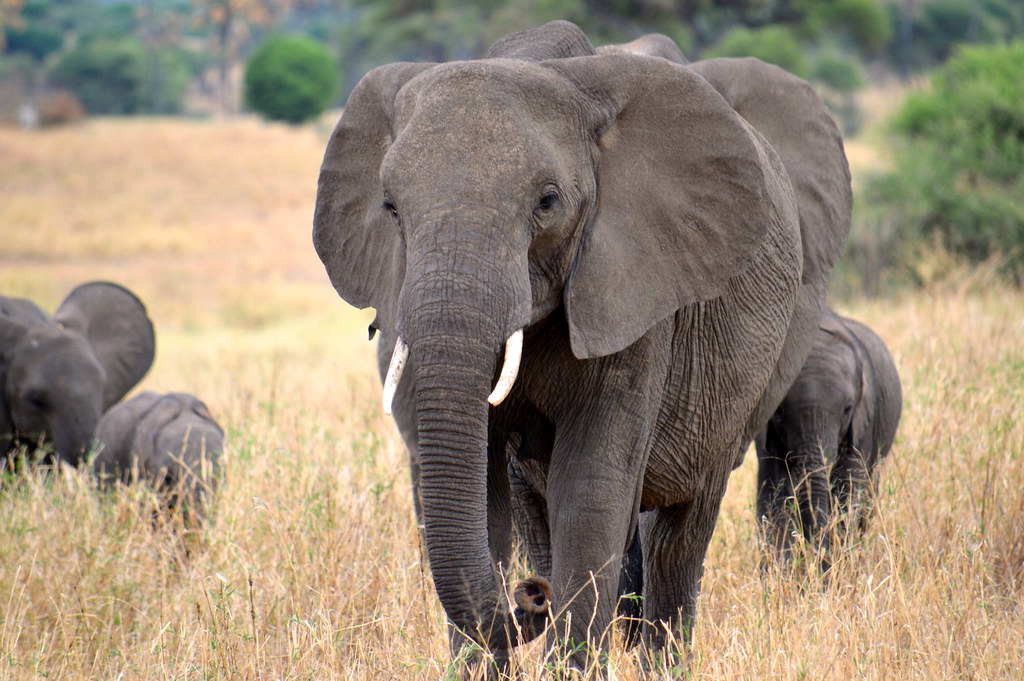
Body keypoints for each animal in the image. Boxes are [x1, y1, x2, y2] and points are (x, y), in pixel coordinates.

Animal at [313, 19, 851, 671]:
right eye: (390, 207)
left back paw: (658, 662)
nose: (530, 597)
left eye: (547, 202)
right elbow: (484, 486)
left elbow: (590, 485)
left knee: (679, 532)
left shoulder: (633, 283)